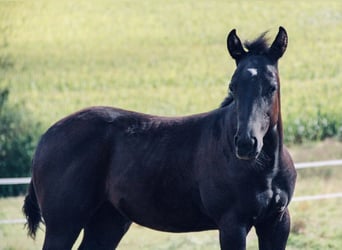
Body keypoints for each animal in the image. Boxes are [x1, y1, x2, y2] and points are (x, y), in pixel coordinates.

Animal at [24, 26, 296, 249]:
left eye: (272, 87)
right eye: (233, 86)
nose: (246, 144)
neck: (266, 169)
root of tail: (45, 138)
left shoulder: (277, 222)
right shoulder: (232, 224)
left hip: (108, 221)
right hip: (63, 225)